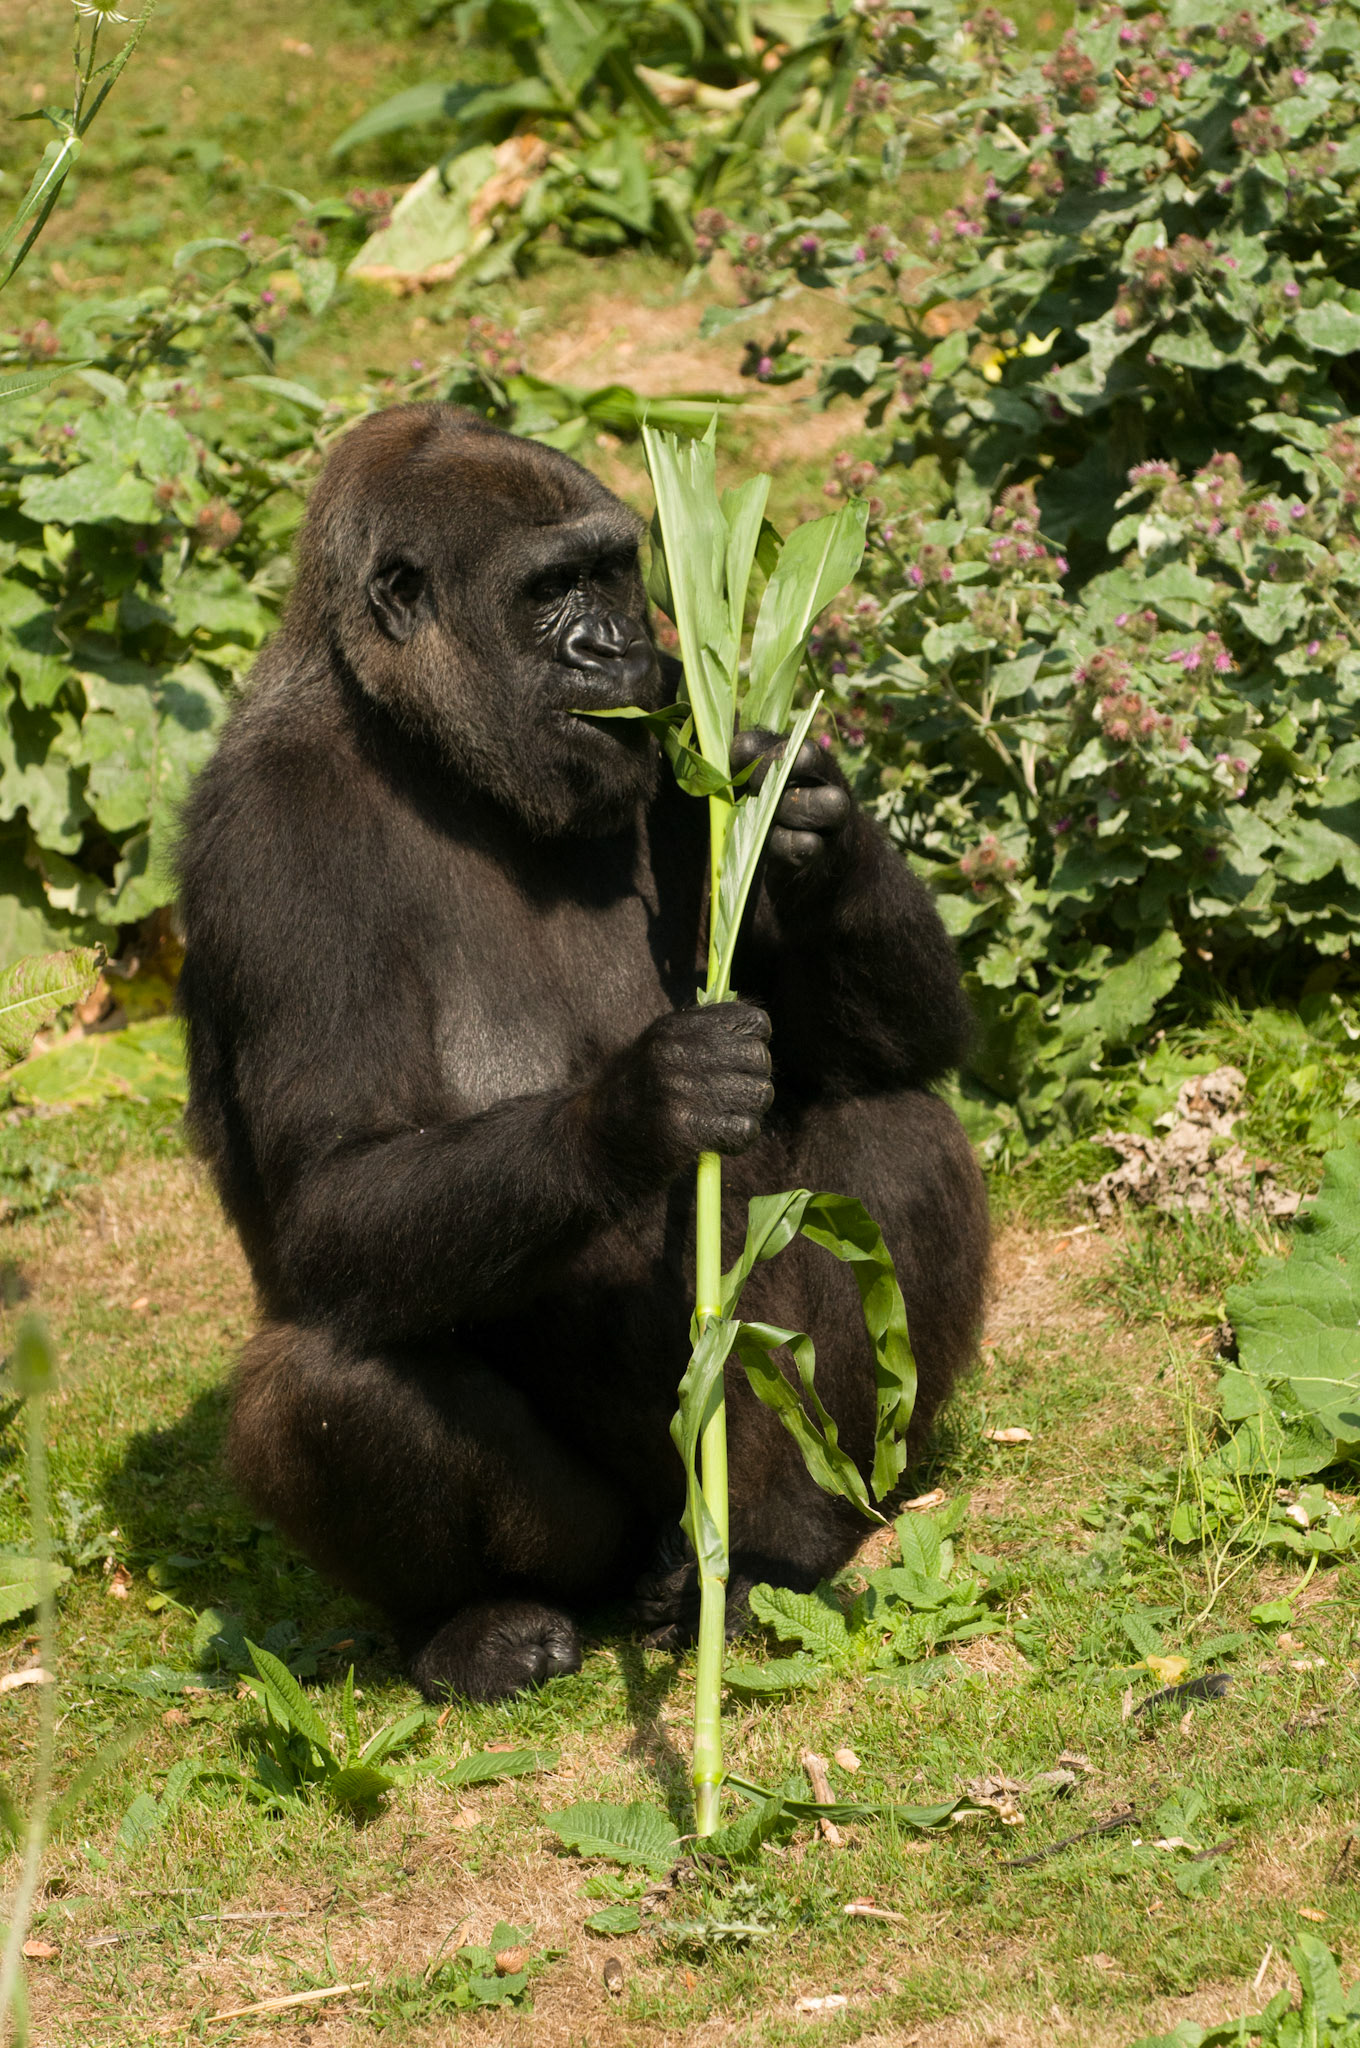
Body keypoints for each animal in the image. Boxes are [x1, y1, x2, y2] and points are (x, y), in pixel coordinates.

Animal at [175, 402, 989, 1703]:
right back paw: (477, 1620)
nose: (615, 650)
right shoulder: (266, 837)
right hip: (600, 1540)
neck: (418, 743)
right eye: (550, 589)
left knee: (890, 1125)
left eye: (613, 571)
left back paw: (777, 1547)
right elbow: (330, 1191)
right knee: (321, 1380)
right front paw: (643, 1103)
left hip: (722, 1479)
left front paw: (807, 811)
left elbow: (890, 1045)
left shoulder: (673, 728)